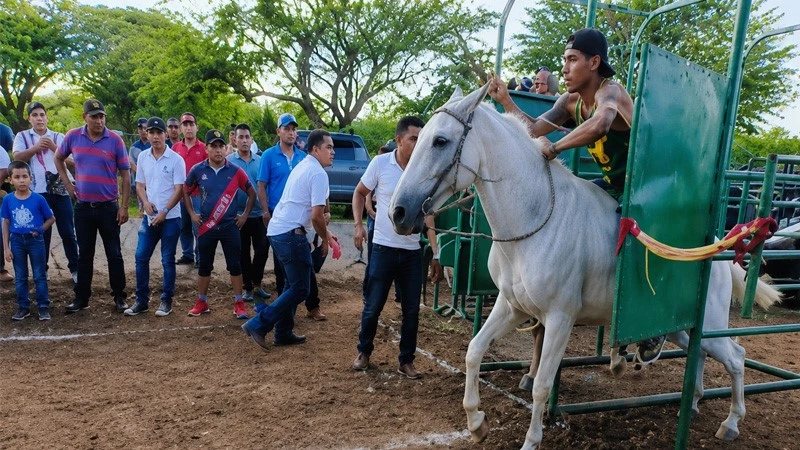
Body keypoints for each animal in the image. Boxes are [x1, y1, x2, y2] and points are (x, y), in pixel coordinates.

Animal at [389, 84, 782, 450]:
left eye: (440, 141)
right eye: (419, 139)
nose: (398, 213)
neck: (534, 221)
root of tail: (714, 250)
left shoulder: (560, 319)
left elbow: (542, 384)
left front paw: (531, 439)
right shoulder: (511, 307)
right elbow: (473, 353)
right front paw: (476, 422)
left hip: (709, 322)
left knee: (736, 357)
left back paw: (731, 423)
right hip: (681, 326)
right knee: (700, 352)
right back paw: (695, 401)